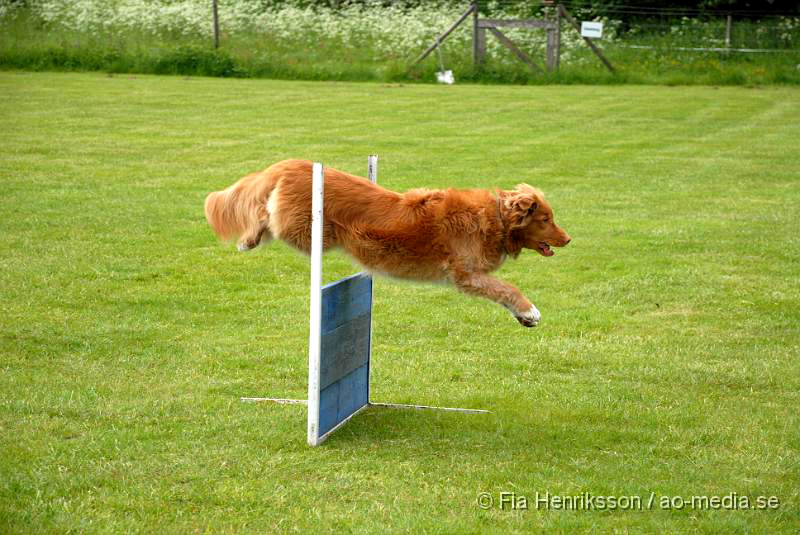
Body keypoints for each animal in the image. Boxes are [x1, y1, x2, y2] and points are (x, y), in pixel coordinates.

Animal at [206, 159, 568, 326]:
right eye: (546, 219)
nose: (568, 238)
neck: (495, 218)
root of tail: (293, 164)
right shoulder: (466, 275)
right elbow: (507, 288)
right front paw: (530, 310)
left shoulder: (472, 276)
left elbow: (502, 290)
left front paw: (523, 317)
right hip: (305, 232)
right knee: (265, 217)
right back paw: (247, 240)